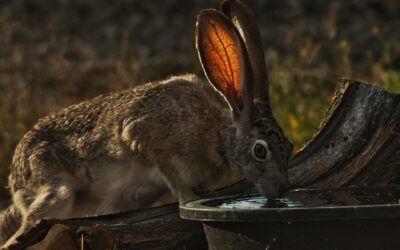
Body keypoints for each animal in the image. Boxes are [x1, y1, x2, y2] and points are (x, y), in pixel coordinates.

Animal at [1, 0, 292, 248]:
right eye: (260, 150)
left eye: (289, 146)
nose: (281, 189)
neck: (217, 134)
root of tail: (14, 179)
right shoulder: (146, 136)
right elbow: (166, 168)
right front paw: (191, 199)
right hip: (55, 187)